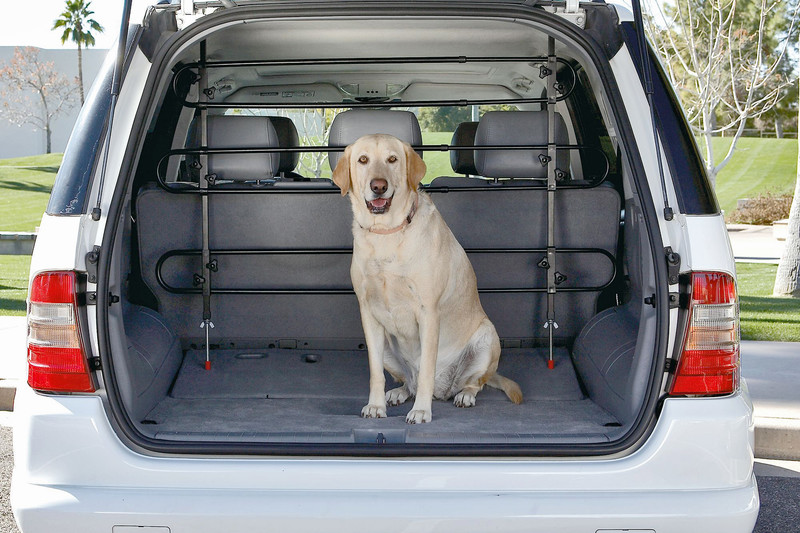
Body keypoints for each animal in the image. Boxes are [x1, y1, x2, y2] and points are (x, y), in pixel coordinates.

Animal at [332, 134, 524, 424]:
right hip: (388, 348)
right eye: (363, 160)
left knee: (472, 382)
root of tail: (443, 390)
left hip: (487, 338)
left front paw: (421, 411)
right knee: (408, 382)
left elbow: (426, 372)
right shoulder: (368, 313)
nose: (379, 186)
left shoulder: (429, 312)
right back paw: (398, 393)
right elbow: (375, 374)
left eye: (392, 159)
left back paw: (463, 395)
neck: (387, 233)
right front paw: (376, 406)